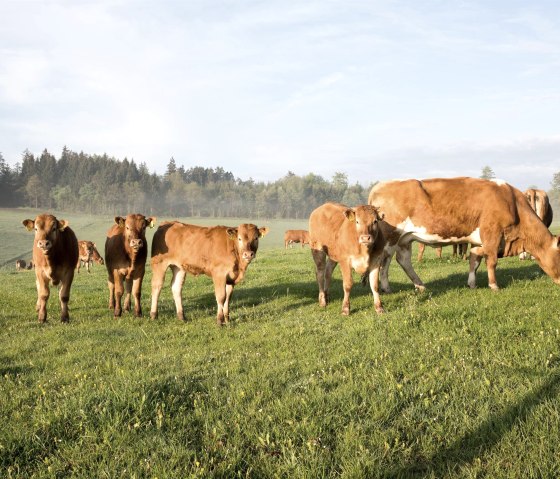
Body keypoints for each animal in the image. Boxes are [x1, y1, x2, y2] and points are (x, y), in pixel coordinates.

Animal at [368, 178, 560, 294]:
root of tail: (380, 185)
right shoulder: (492, 233)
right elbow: (491, 261)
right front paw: (494, 285)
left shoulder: (478, 240)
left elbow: (474, 260)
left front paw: (472, 283)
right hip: (391, 237)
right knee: (385, 262)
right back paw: (386, 287)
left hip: (405, 239)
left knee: (403, 260)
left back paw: (420, 285)